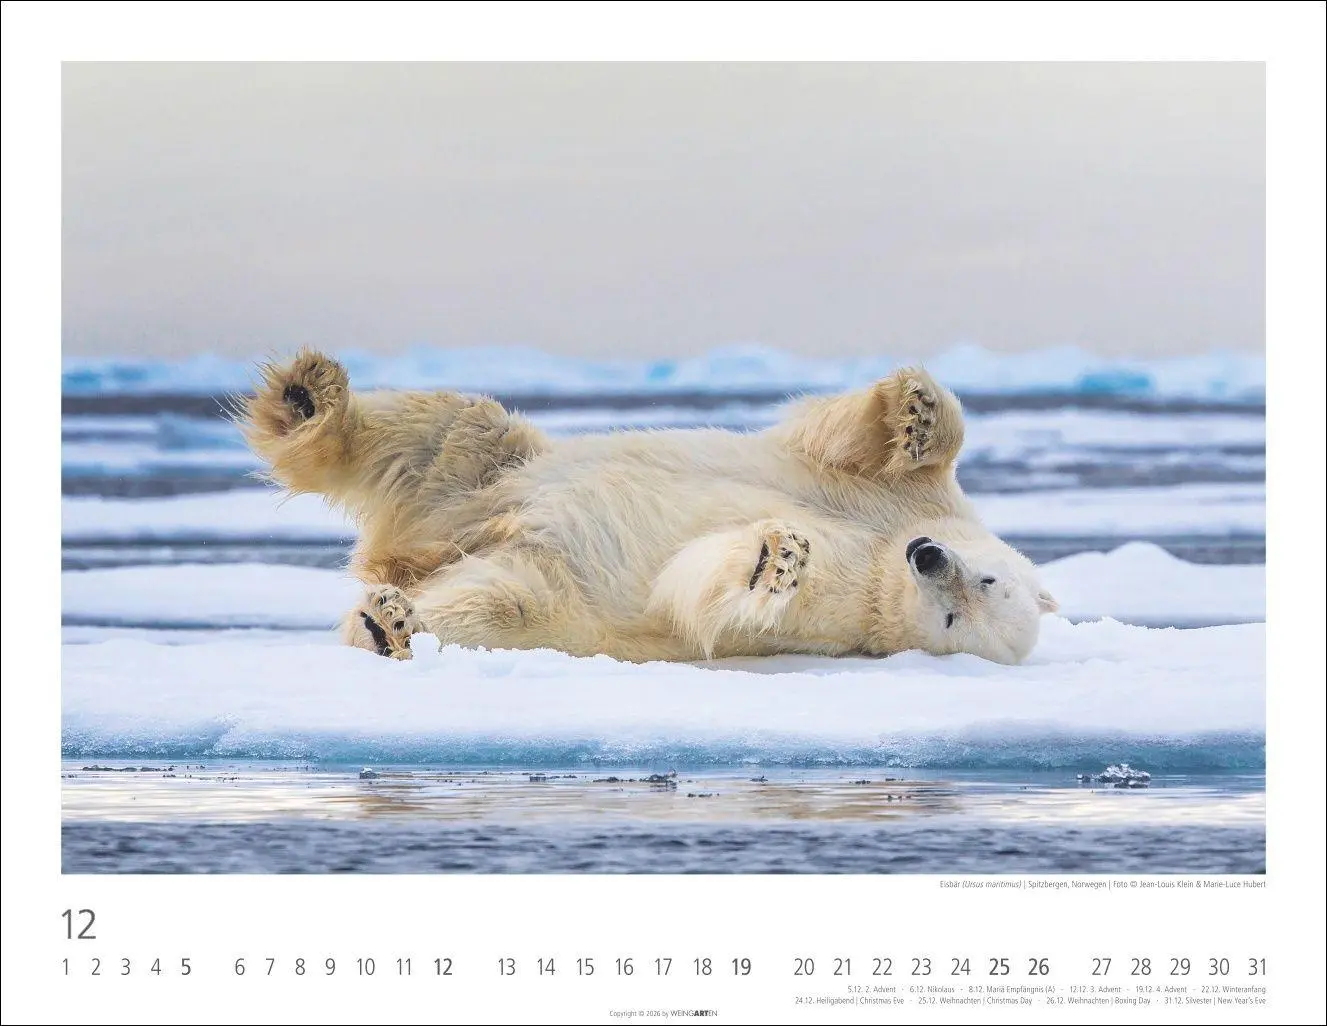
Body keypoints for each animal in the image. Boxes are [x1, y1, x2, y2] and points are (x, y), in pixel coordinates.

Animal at [240, 349, 1058, 665]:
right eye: (987, 577)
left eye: (956, 617)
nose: (930, 558)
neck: (887, 553)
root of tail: (413, 552)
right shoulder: (908, 502)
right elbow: (841, 443)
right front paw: (916, 410)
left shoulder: (850, 609)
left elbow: (702, 590)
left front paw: (777, 558)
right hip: (491, 474)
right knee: (450, 428)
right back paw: (307, 398)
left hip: (545, 591)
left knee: (491, 605)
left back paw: (388, 623)